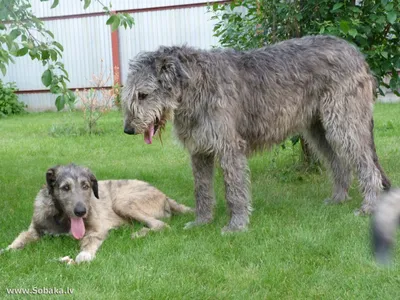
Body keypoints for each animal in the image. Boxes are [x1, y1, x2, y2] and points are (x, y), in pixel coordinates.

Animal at [122, 34, 390, 232]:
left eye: (143, 94)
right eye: (129, 95)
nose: (128, 129)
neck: (195, 86)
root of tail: (357, 53)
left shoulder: (230, 147)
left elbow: (234, 190)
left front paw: (236, 226)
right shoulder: (199, 151)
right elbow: (202, 189)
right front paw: (201, 222)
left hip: (344, 123)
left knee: (368, 166)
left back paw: (368, 206)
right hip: (319, 129)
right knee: (339, 163)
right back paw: (338, 199)